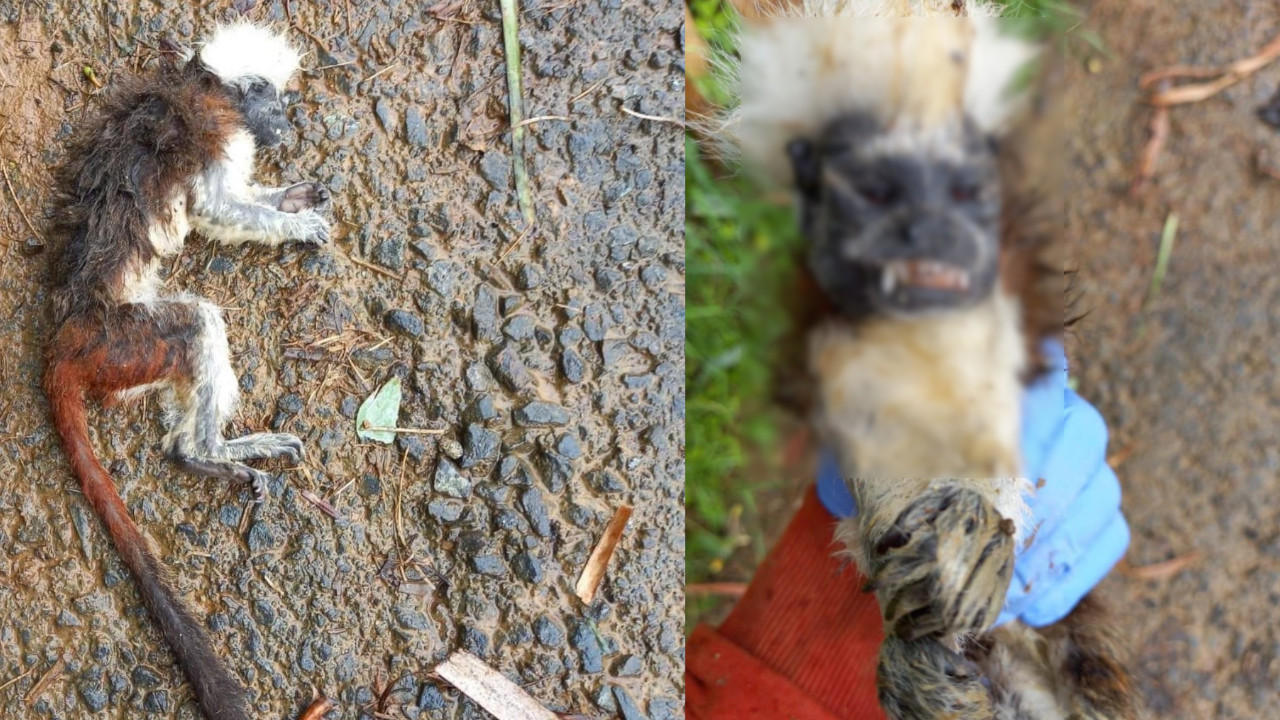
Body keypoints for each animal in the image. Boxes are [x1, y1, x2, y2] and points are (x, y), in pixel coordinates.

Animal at [42, 22, 333, 720]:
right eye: (275, 104)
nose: (287, 126)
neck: (207, 85)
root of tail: (69, 335)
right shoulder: (215, 136)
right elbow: (218, 209)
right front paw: (293, 220)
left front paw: (290, 194)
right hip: (126, 346)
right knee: (197, 323)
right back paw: (205, 454)